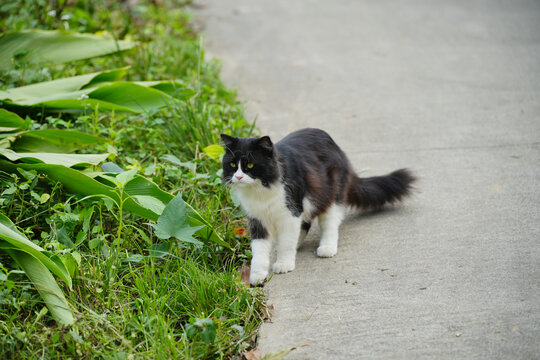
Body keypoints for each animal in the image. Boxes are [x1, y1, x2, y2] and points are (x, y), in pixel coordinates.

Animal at [221, 128, 416, 286]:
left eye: (250, 165)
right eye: (232, 164)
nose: (238, 177)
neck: (260, 190)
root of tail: (336, 147)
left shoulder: (290, 212)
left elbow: (286, 243)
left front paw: (284, 264)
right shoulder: (257, 219)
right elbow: (259, 250)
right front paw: (257, 275)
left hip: (331, 195)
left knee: (329, 225)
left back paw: (326, 248)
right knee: (305, 224)